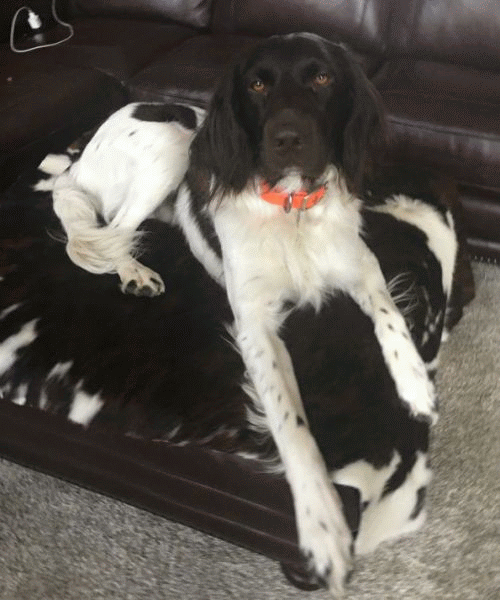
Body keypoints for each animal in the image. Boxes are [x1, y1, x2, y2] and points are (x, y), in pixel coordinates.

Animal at [41, 33, 466, 596]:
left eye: (322, 77)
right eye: (258, 85)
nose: (287, 139)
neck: (293, 207)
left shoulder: (361, 266)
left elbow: (389, 315)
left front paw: (416, 384)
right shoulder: (257, 327)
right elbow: (293, 427)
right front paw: (321, 523)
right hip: (169, 150)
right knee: (112, 228)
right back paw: (133, 269)